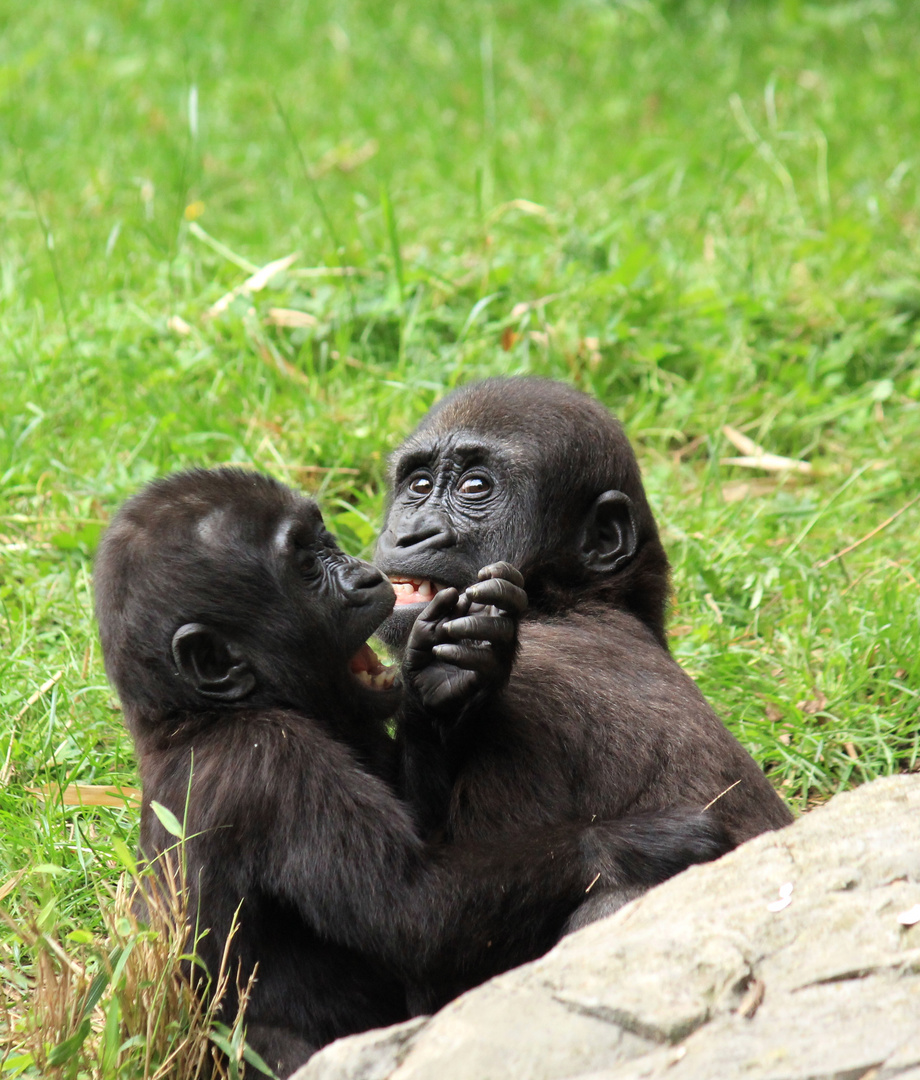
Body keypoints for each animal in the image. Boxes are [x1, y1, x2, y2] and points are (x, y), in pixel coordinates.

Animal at [91, 468, 725, 1075]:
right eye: (306, 567)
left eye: (325, 541)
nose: (364, 575)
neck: (192, 716)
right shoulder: (271, 760)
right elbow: (417, 912)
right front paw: (647, 842)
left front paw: (449, 678)